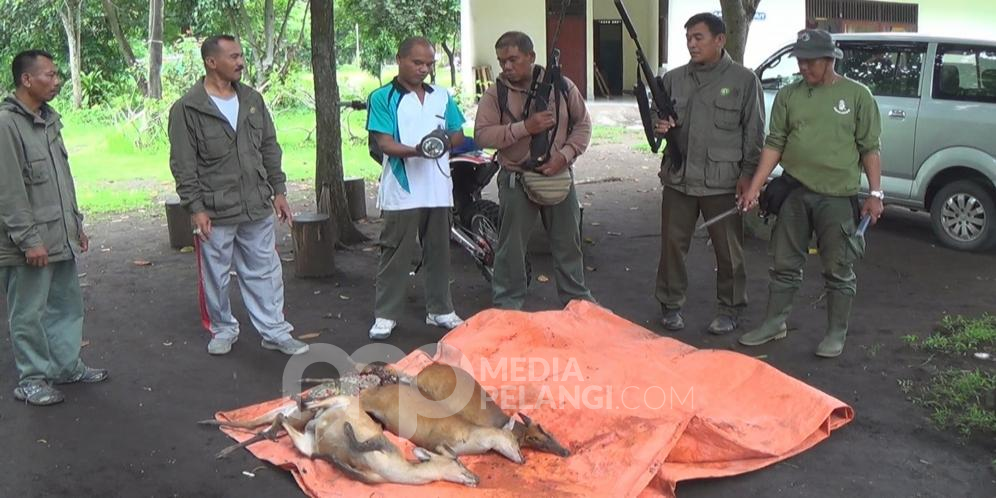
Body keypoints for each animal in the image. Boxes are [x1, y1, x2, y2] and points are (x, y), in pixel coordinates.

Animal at [282, 392, 480, 486]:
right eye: (459, 462)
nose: (477, 478)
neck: (396, 471)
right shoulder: (383, 444)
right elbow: (359, 443)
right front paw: (347, 428)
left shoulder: (369, 477)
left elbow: (340, 463)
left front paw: (329, 457)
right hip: (339, 399)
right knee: (311, 404)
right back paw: (297, 400)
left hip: (305, 443)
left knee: (291, 426)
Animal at [360, 382, 528, 462]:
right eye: (516, 443)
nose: (523, 460)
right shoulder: (436, 438)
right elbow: (450, 454)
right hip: (375, 401)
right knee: (361, 396)